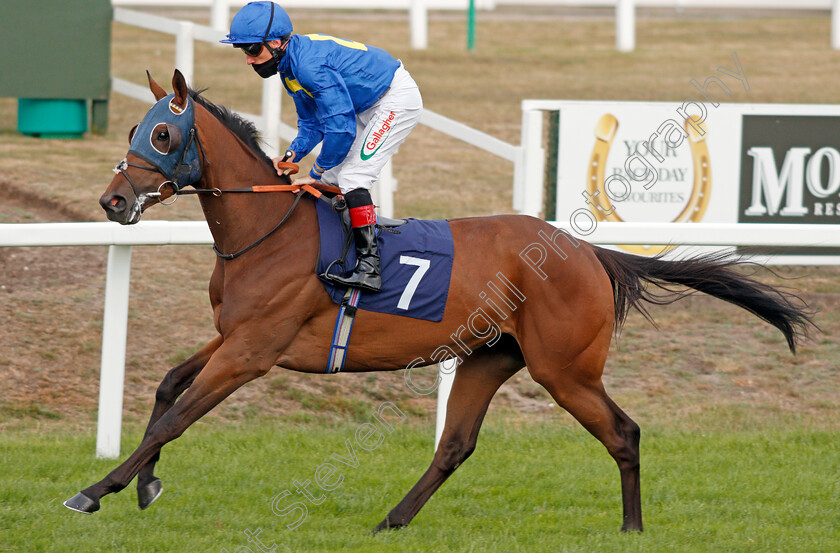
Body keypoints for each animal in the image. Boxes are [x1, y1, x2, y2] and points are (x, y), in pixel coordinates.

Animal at [65, 70, 812, 532]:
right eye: (134, 130)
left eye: (163, 134)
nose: (112, 201)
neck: (266, 230)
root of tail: (584, 250)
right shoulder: (233, 336)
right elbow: (167, 386)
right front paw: (145, 484)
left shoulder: (254, 350)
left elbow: (175, 418)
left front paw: (96, 490)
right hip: (490, 356)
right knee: (455, 444)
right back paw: (392, 519)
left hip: (565, 368)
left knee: (622, 432)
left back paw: (632, 527)